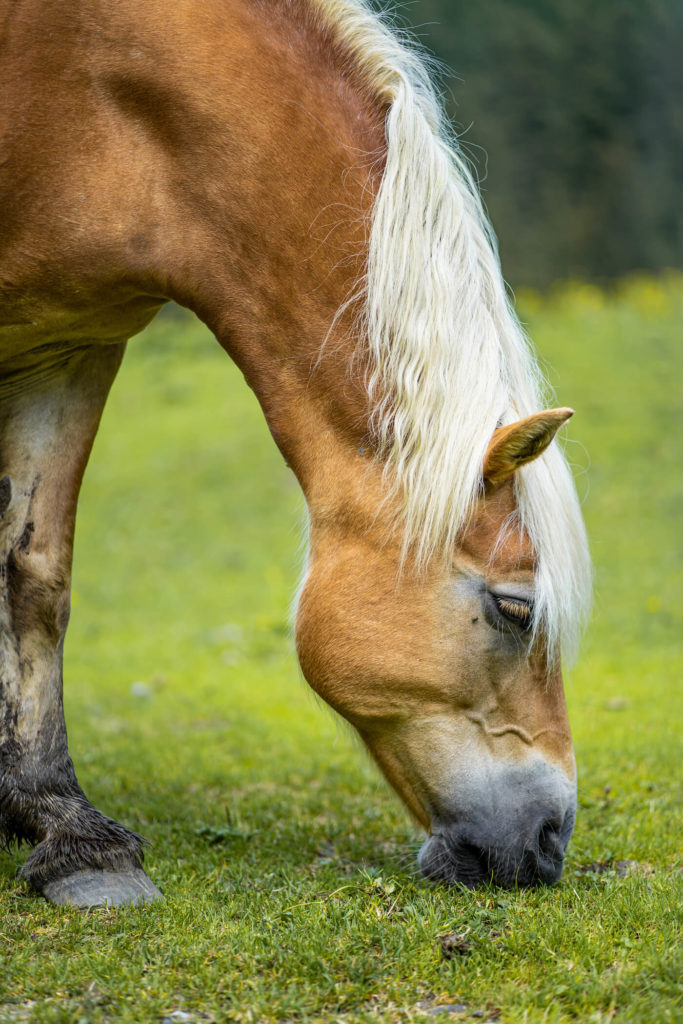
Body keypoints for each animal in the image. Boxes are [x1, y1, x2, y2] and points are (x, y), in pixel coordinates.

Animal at [0, 0, 589, 909]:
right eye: (514, 609)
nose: (550, 840)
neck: (88, 85)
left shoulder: (69, 347)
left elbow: (34, 578)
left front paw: (65, 830)